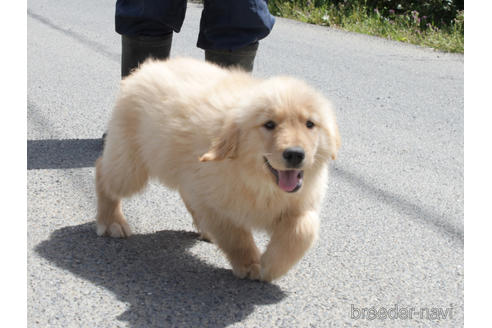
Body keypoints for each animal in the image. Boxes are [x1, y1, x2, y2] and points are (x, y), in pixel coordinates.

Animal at [94, 57, 340, 282]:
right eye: (269, 124)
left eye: (310, 124)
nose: (295, 154)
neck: (260, 183)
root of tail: (146, 67)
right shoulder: (215, 205)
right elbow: (236, 236)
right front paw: (250, 264)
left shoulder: (301, 203)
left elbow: (303, 231)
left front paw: (272, 266)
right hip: (130, 166)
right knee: (103, 172)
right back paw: (111, 221)